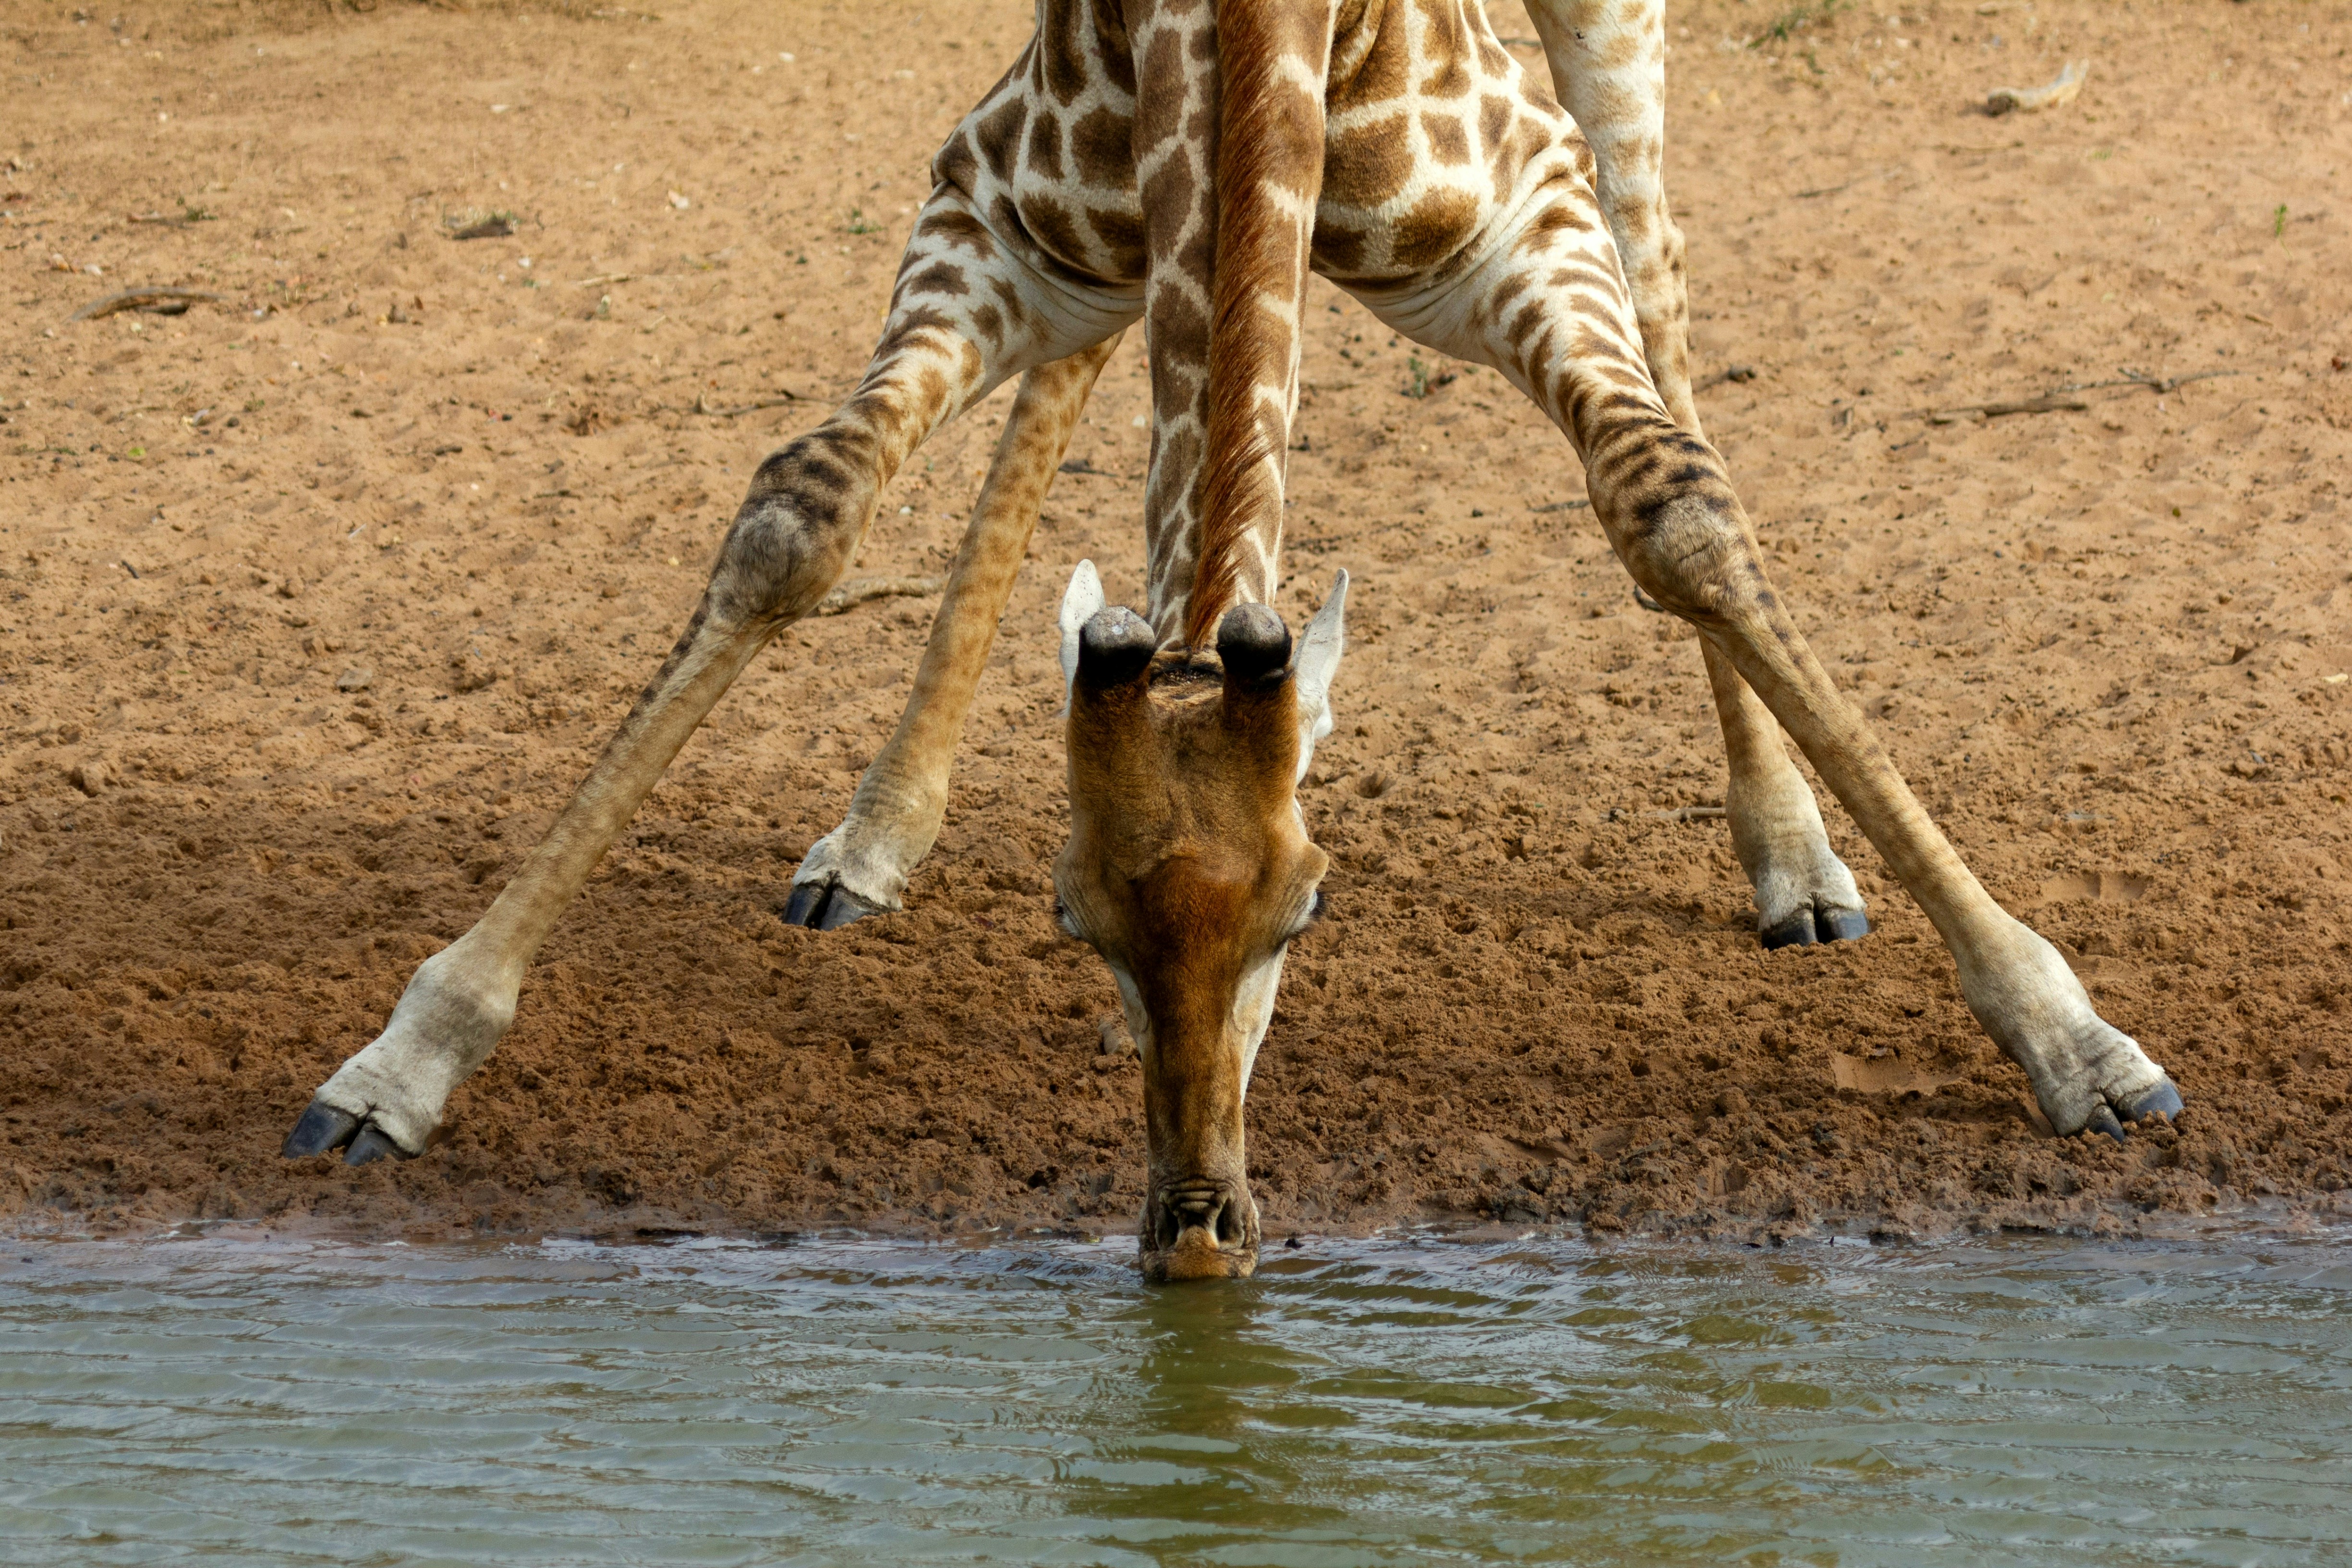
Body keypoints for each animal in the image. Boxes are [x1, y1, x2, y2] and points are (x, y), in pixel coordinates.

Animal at [283, 0, 2183, 1280]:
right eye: (1073, 916)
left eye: (1309, 910)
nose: (1197, 1226)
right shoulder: (994, 202)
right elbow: (795, 519)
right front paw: (401, 1060)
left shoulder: (1523, 220)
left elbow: (1677, 512)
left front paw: (2077, 1041)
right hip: (1105, 226)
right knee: (1096, 373)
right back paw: (876, 830)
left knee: (1668, 290)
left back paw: (1795, 862)